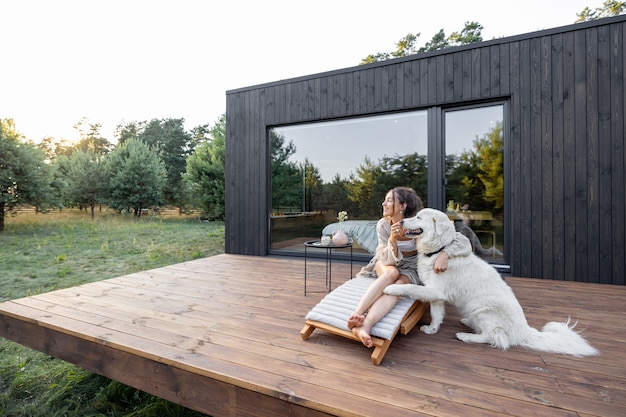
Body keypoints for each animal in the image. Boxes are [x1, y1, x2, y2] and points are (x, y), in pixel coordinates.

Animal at [382, 207, 596, 354]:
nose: (401, 222)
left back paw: (466, 336)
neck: (437, 251)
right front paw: (432, 329)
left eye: (418, 217)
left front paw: (391, 289)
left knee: (495, 338)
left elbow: (410, 287)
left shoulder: (435, 291)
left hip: (483, 309)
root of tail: (524, 331)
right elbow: (436, 314)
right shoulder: (437, 295)